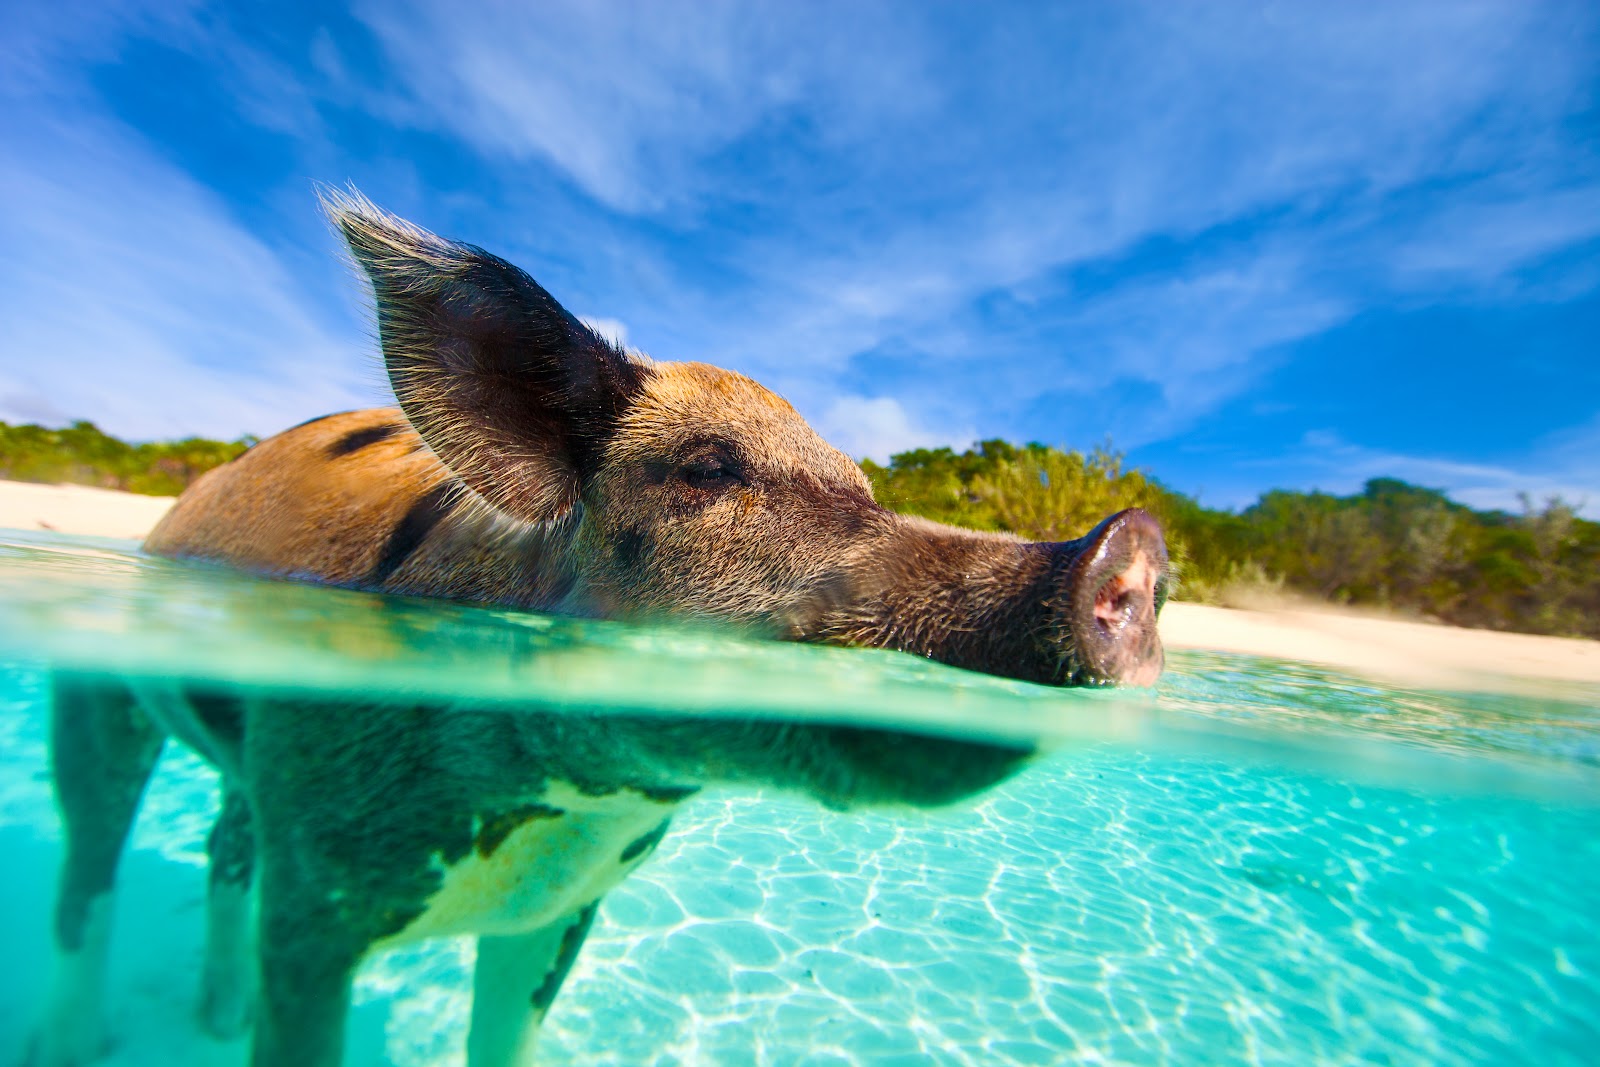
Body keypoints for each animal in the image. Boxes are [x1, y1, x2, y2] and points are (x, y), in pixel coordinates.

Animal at [34, 192, 1167, 1067]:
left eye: (865, 488)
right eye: (708, 468)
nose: (1126, 546)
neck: (562, 807)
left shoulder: (561, 908)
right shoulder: (315, 887)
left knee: (223, 842)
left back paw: (211, 1020)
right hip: (96, 701)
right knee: (89, 866)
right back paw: (84, 1039)